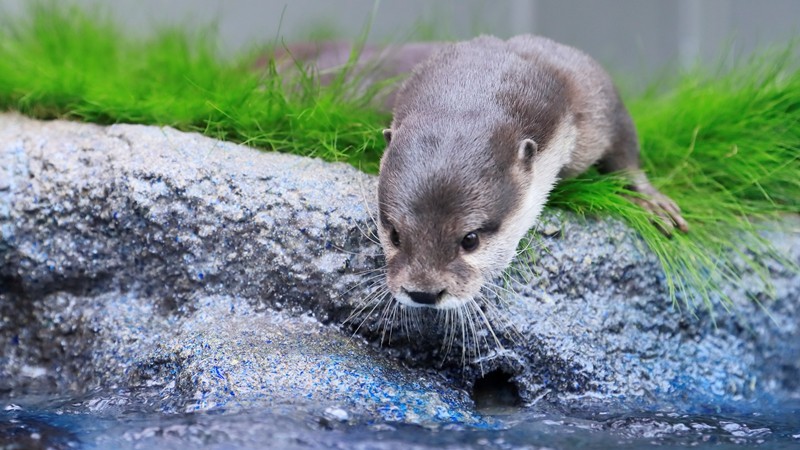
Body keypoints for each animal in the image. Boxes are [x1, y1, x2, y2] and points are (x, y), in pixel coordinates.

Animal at [378, 35, 684, 310]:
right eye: (395, 235)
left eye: (470, 240)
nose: (423, 293)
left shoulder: (596, 96)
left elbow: (624, 145)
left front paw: (650, 201)